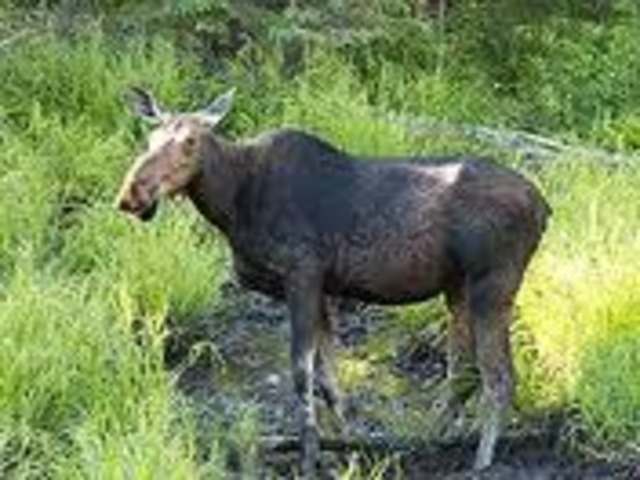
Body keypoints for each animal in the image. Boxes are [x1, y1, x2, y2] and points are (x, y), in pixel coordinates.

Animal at [115, 87, 550, 477]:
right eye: (149, 137)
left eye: (190, 141)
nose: (131, 194)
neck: (233, 206)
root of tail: (545, 207)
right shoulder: (321, 288)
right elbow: (329, 380)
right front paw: (349, 451)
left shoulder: (302, 275)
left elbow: (301, 373)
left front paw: (311, 459)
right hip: (457, 287)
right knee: (462, 374)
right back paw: (431, 445)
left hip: (493, 283)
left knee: (499, 377)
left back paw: (483, 463)